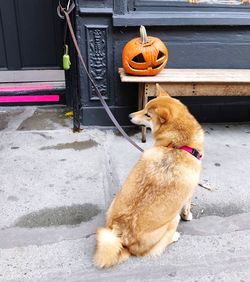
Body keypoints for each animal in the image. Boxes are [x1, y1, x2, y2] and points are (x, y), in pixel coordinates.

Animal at [94, 84, 204, 268]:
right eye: (144, 108)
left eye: (147, 114)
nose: (129, 116)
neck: (176, 145)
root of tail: (123, 235)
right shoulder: (189, 193)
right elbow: (187, 208)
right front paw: (188, 216)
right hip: (172, 220)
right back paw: (174, 236)